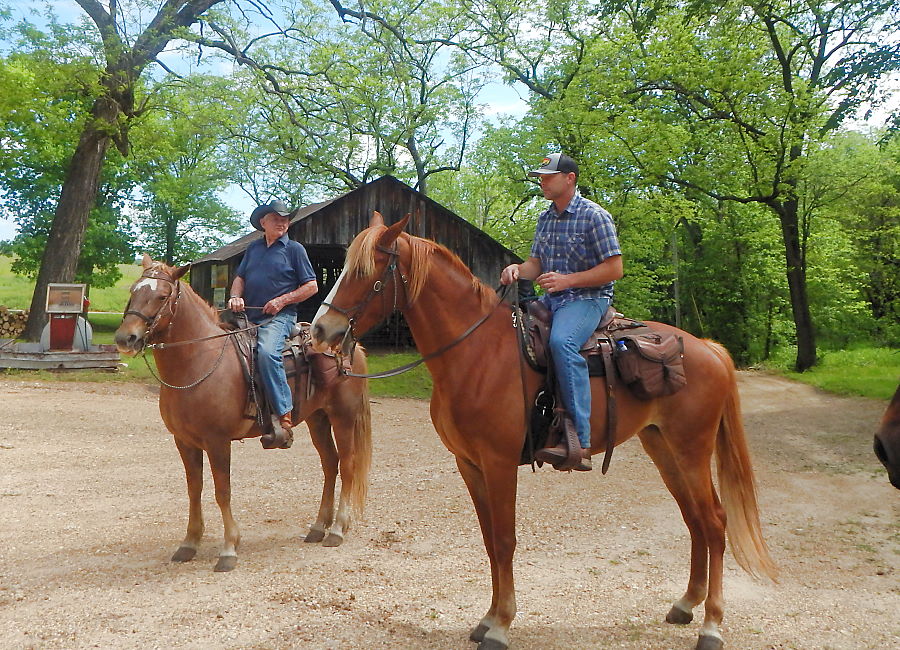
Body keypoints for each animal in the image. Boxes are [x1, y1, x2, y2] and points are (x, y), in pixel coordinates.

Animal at [114, 256, 370, 568]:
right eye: (133, 291)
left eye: (162, 296)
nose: (126, 338)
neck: (200, 360)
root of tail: (351, 347)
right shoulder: (184, 442)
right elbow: (194, 489)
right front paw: (189, 543)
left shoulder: (217, 441)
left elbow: (222, 492)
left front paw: (229, 549)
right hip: (317, 418)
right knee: (330, 464)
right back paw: (319, 527)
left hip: (343, 417)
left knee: (347, 464)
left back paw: (337, 529)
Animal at [312, 214, 776, 648]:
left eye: (365, 270)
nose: (320, 330)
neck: (477, 354)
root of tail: (707, 349)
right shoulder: (469, 464)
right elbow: (489, 540)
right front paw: (487, 618)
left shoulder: (499, 463)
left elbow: (504, 540)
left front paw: (501, 625)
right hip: (662, 447)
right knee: (694, 520)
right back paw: (685, 605)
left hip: (692, 449)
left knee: (714, 522)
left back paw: (712, 625)